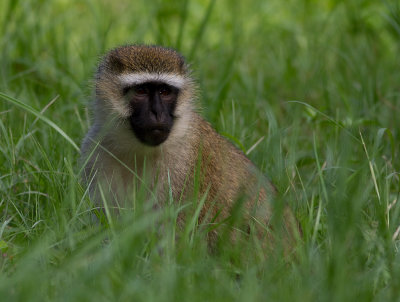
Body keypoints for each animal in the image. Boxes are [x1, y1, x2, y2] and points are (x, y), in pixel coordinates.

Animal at [80, 44, 296, 243]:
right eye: (140, 91)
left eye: (165, 91)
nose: (157, 113)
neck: (139, 150)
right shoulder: (94, 151)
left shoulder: (187, 165)